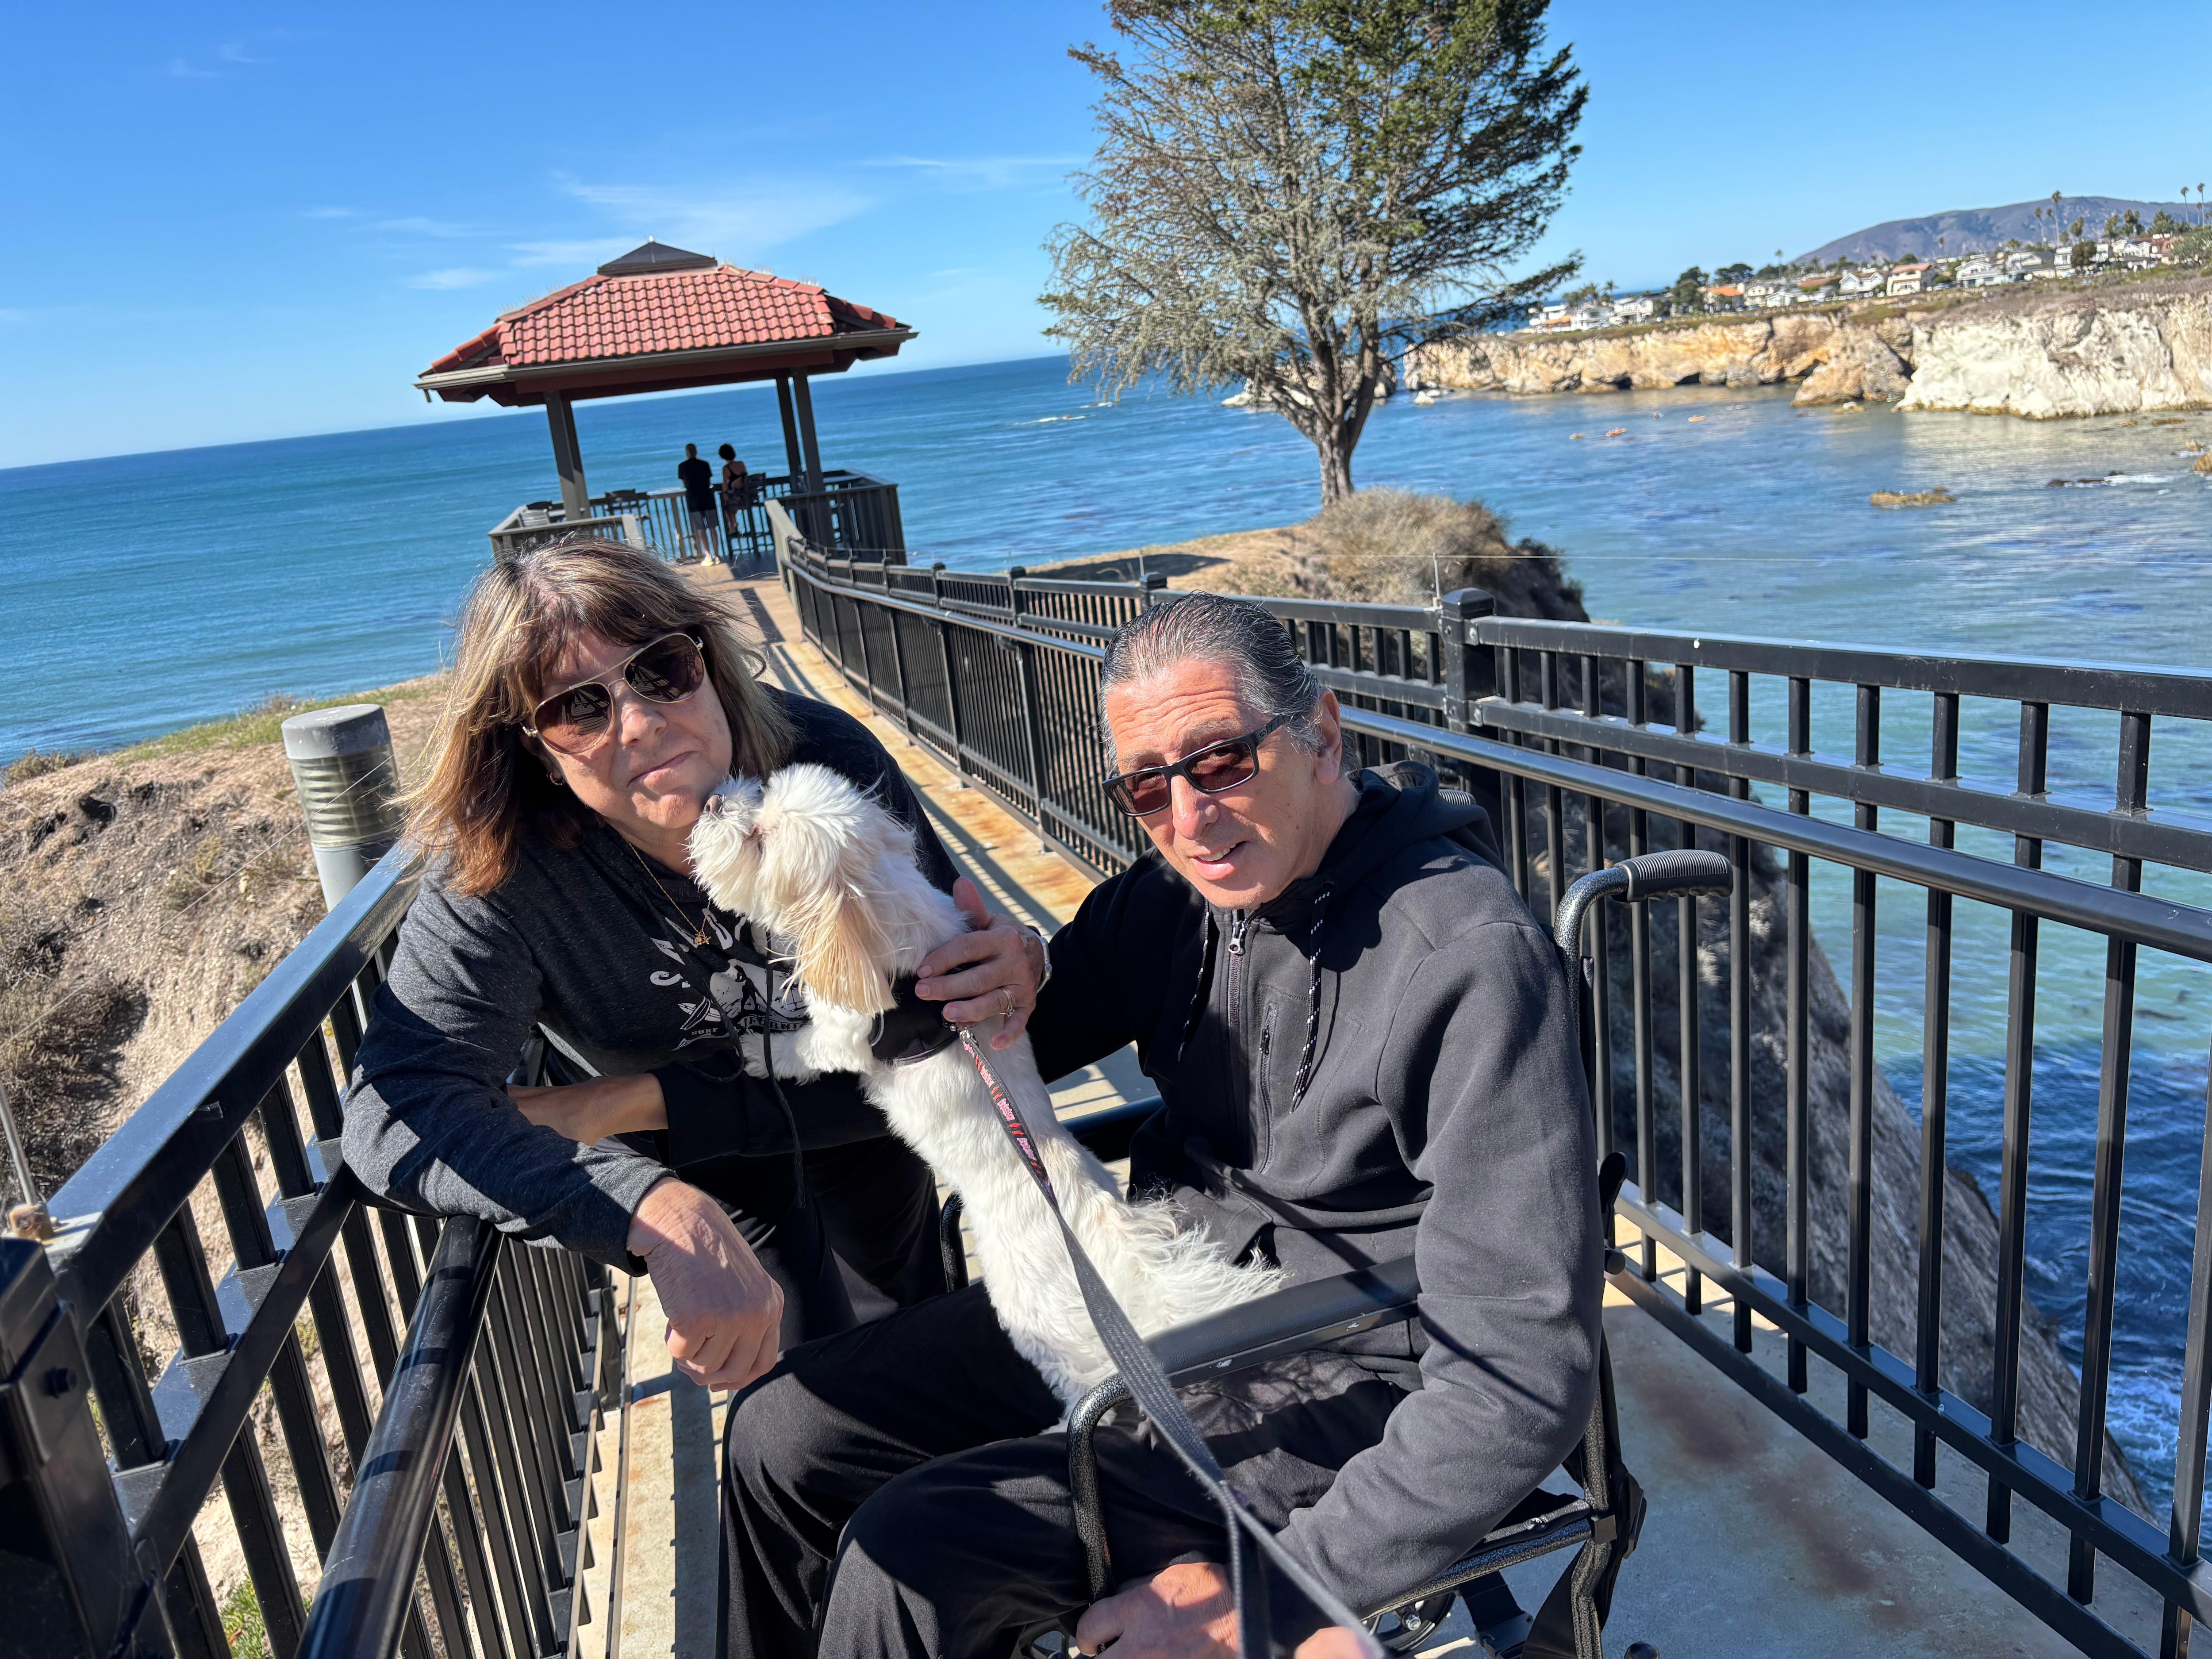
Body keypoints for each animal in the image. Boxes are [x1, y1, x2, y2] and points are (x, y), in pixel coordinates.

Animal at [688, 763, 1282, 1405]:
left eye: (760, 840)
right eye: (761, 794)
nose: (715, 801)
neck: (883, 916)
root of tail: (1125, 1264)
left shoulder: (844, 1033)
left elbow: (802, 1048)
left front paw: (753, 1051)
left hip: (1042, 1329)